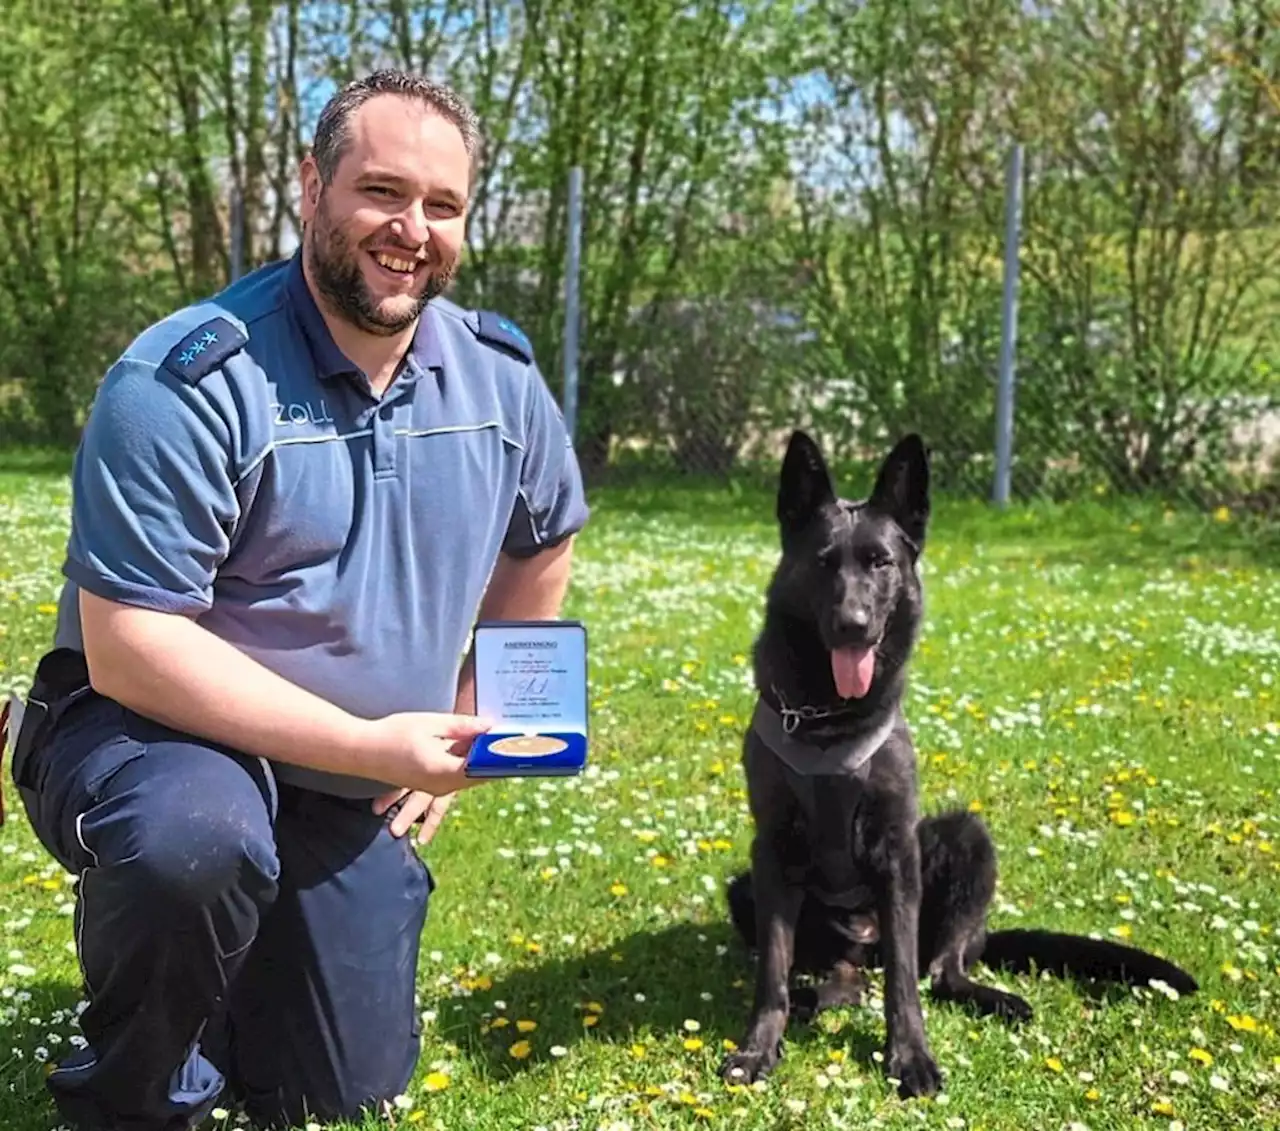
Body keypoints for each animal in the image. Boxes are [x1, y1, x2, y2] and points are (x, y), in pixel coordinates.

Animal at [721, 429, 1198, 1095]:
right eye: (823, 562)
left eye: (881, 563)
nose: (852, 626)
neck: (827, 719)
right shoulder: (771, 851)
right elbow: (773, 970)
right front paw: (760, 1046)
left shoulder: (899, 855)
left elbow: (903, 983)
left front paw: (910, 1056)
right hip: (746, 886)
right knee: (846, 978)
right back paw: (824, 995)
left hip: (964, 842)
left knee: (938, 971)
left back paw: (991, 996)